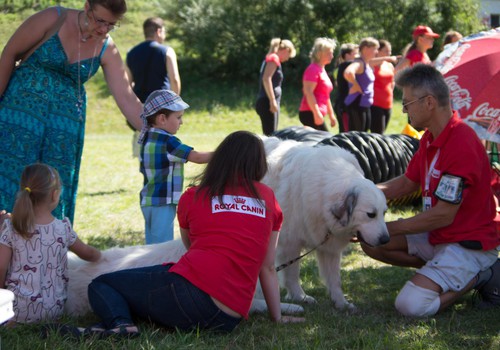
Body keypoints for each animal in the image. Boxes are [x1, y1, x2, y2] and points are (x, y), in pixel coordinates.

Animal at [262, 138, 390, 310]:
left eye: (384, 213)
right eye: (371, 215)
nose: (385, 240)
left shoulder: (329, 247)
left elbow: (335, 279)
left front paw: (341, 303)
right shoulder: (290, 245)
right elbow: (292, 274)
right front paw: (299, 296)